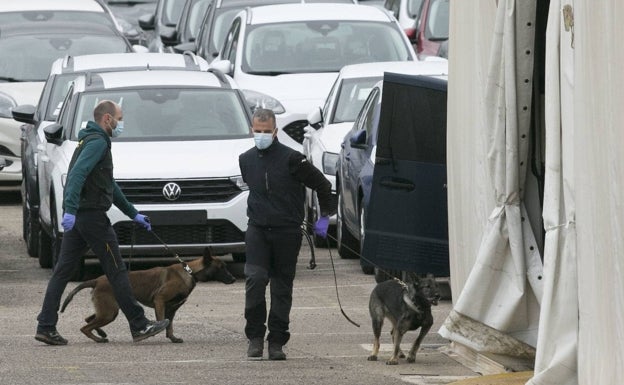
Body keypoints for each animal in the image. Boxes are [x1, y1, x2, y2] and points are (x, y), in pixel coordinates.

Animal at [59, 248, 235, 344]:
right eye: (221, 267)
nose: (233, 279)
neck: (189, 272)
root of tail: (97, 280)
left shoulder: (172, 309)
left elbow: (170, 325)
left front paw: (172, 337)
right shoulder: (160, 300)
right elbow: (163, 320)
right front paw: (157, 329)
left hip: (107, 310)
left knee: (88, 319)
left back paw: (101, 334)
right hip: (109, 312)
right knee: (85, 327)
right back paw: (99, 338)